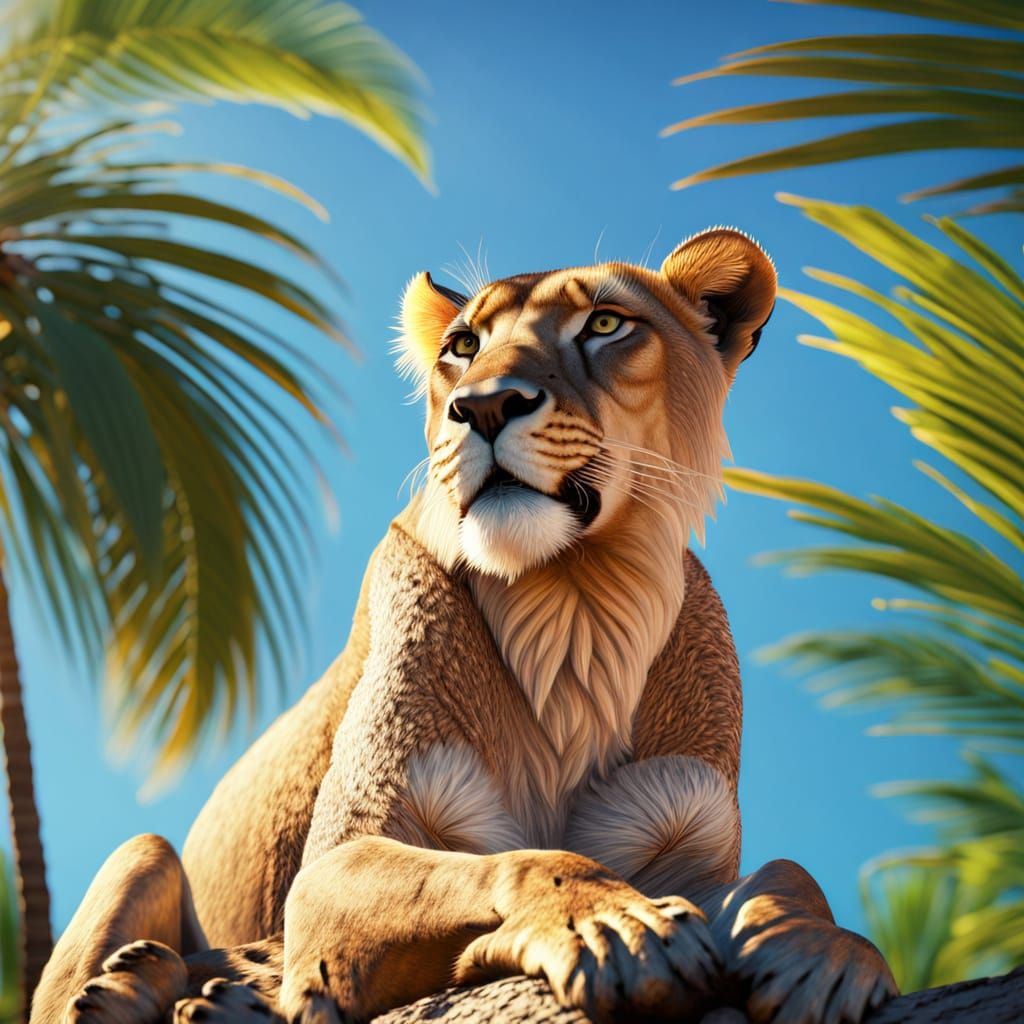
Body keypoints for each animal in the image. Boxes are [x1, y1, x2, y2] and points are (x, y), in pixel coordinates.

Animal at [32, 229, 897, 1024]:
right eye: (463, 346)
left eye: (606, 325)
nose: (482, 406)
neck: (575, 610)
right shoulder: (335, 863)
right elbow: (519, 862)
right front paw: (615, 928)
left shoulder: (687, 841)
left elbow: (788, 872)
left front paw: (827, 956)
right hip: (141, 855)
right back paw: (139, 987)